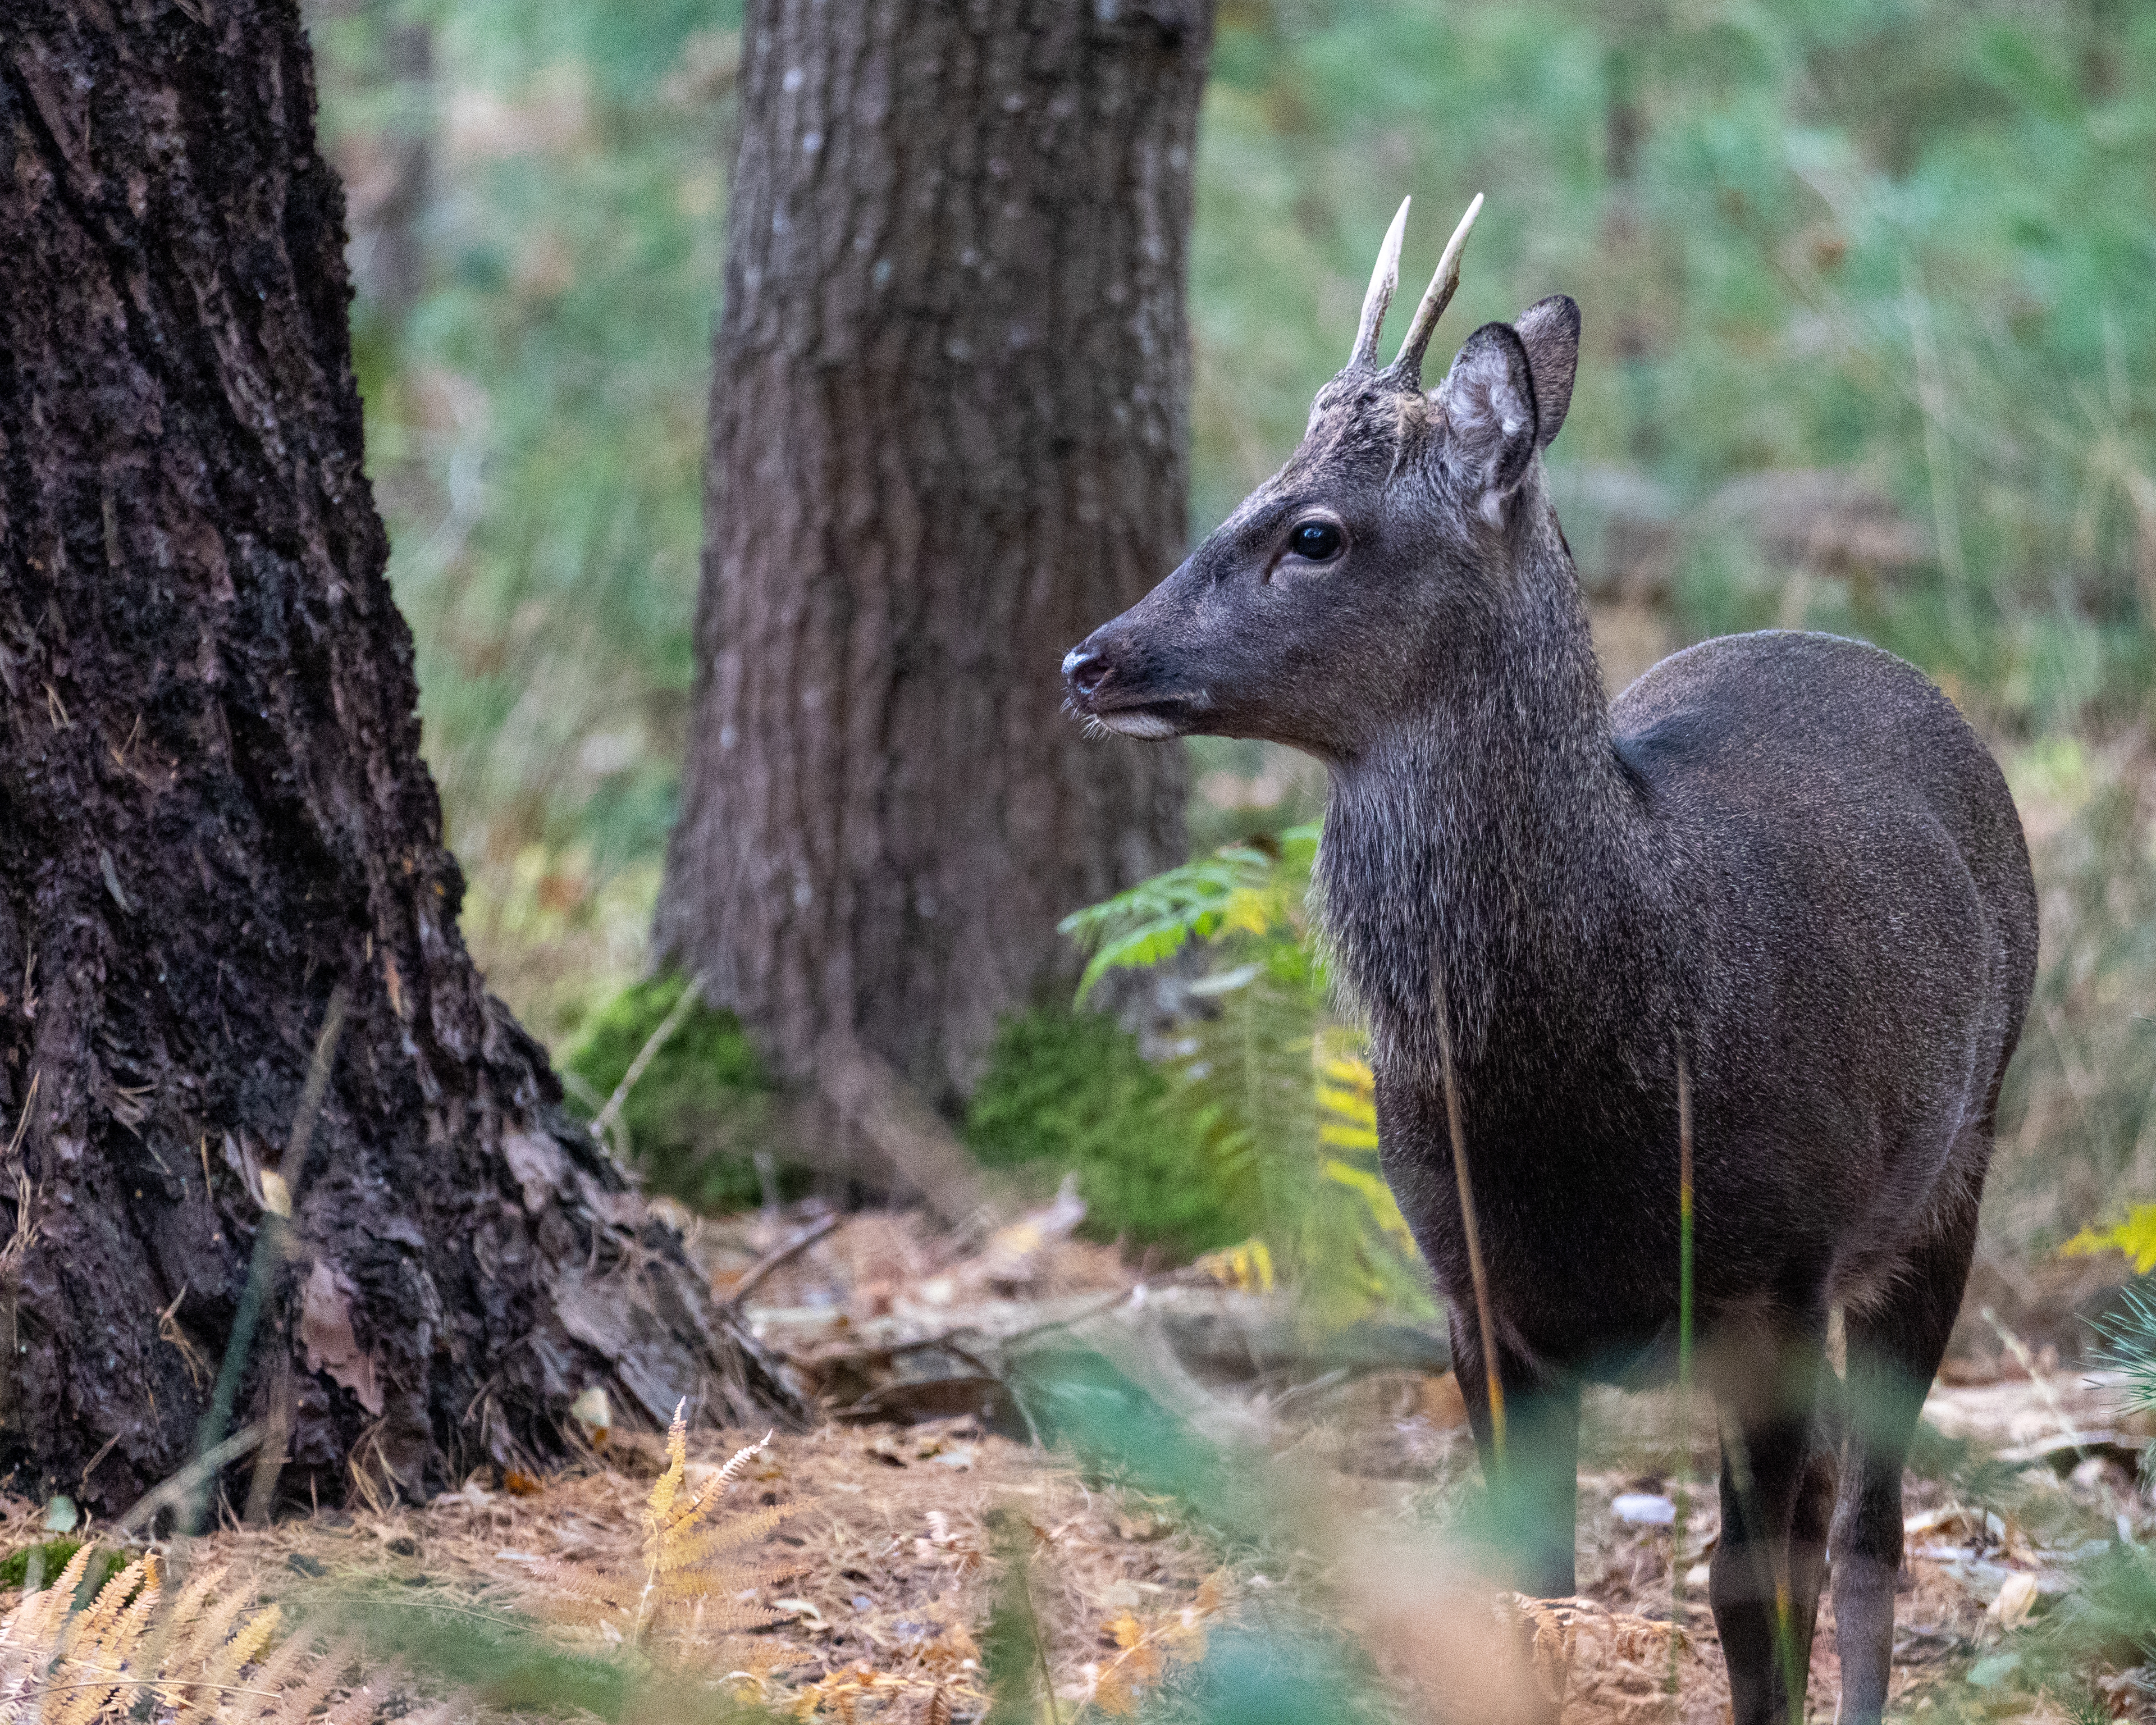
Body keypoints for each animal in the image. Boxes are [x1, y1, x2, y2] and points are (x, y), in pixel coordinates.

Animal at [1061, 195, 2037, 1725]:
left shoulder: (1774, 1274)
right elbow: (1531, 1591)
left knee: (1867, 1531)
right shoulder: (1476, 1296)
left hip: (1952, 1170)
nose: (1092, 658)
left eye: (1314, 532)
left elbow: (1752, 1593)